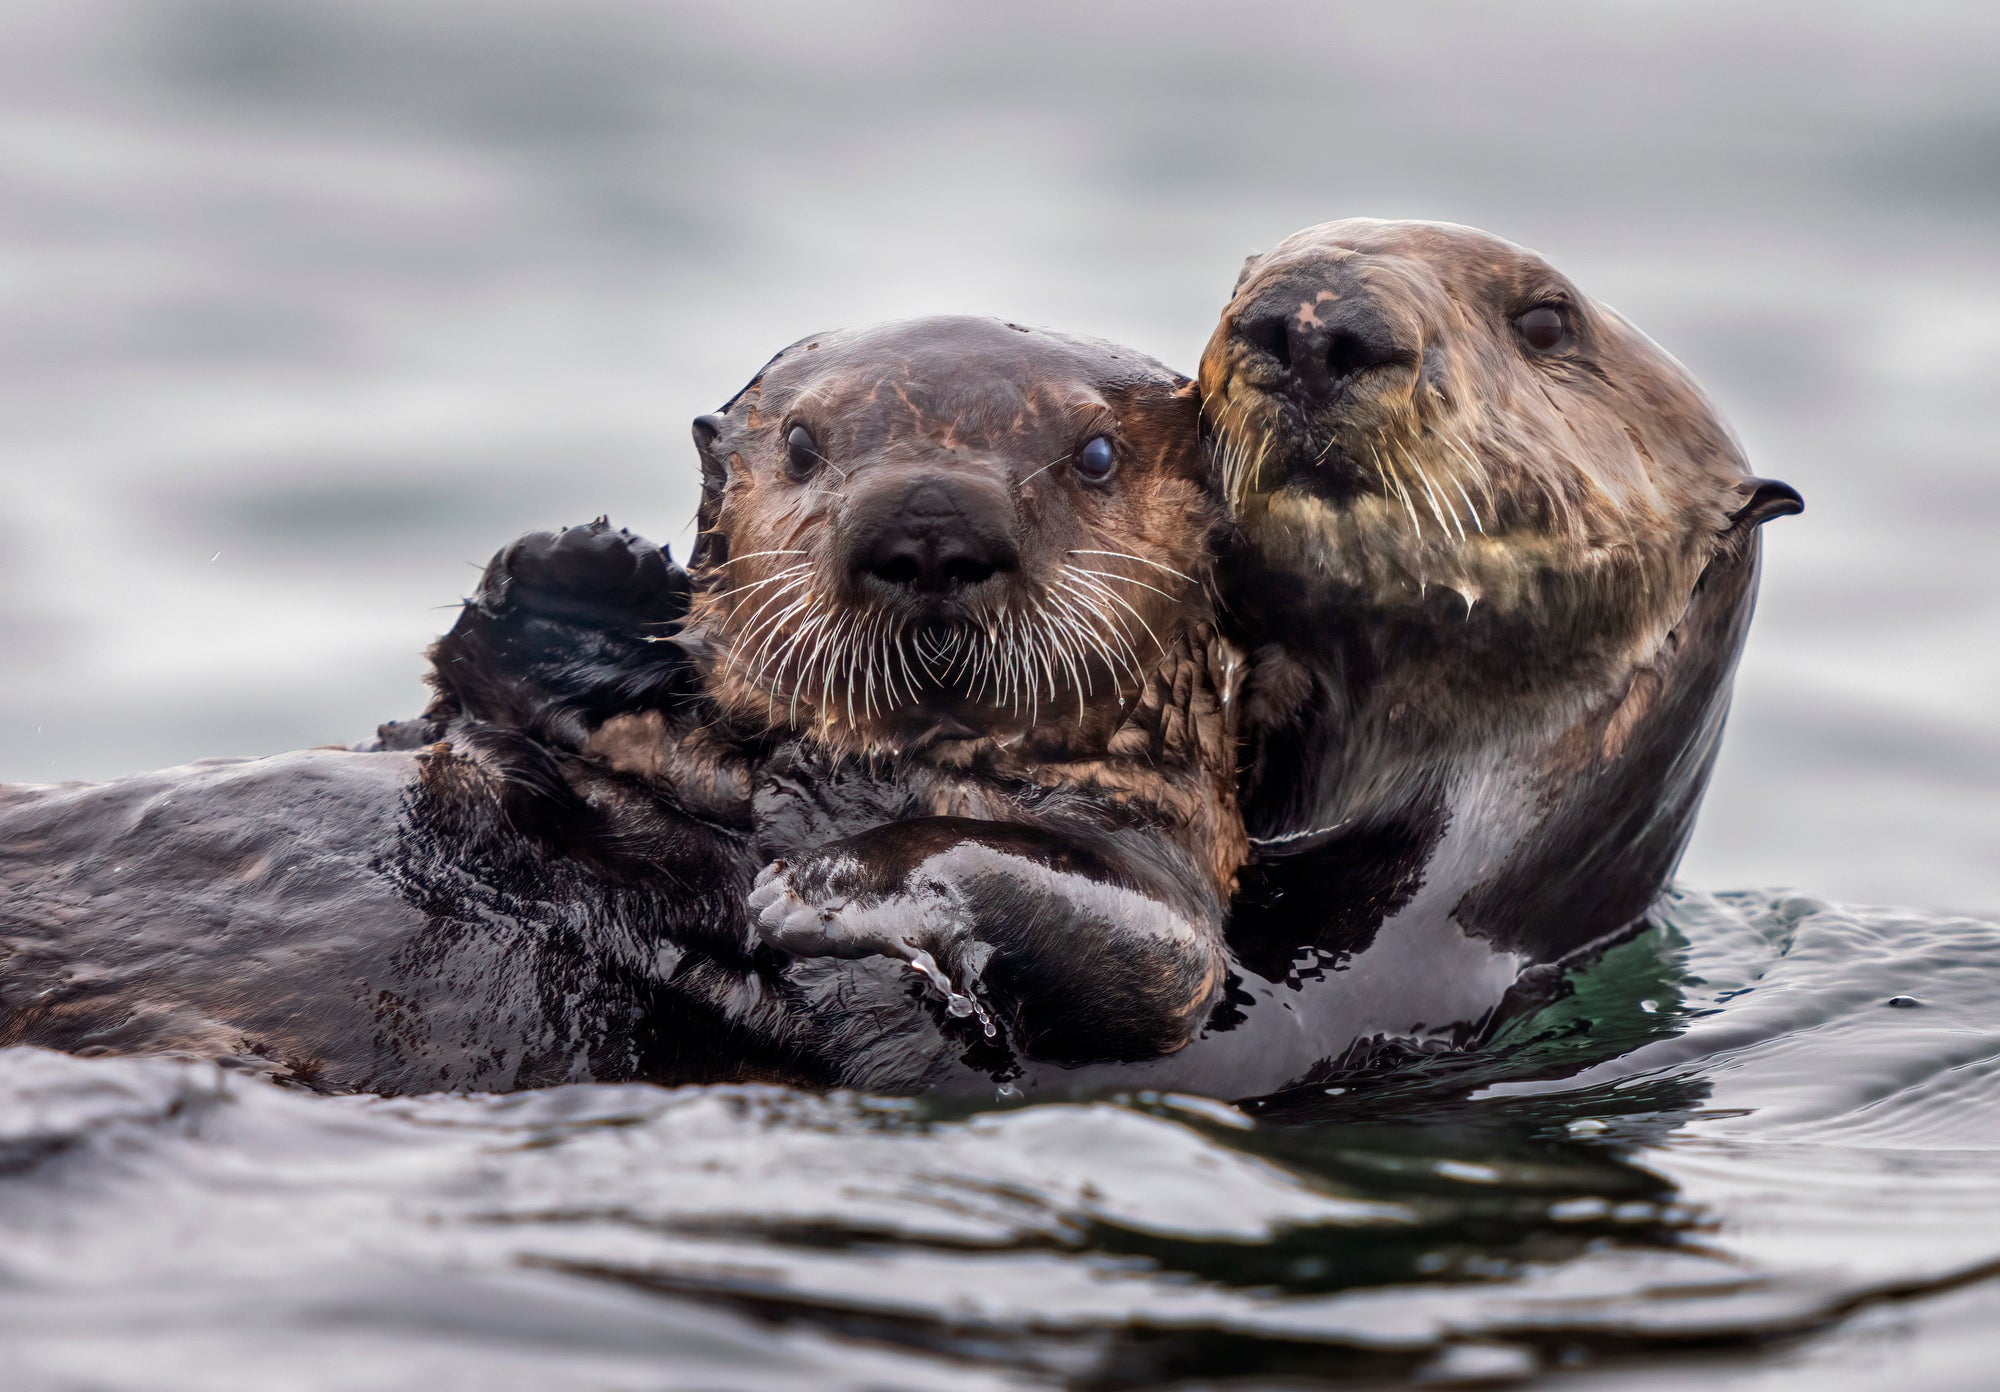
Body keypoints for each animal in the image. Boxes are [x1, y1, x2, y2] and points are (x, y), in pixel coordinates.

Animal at [0, 318, 1243, 1094]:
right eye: (803, 444)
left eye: (1093, 454)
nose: (931, 523)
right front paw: (582, 582)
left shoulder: (1159, 855)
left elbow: (1142, 955)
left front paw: (823, 888)